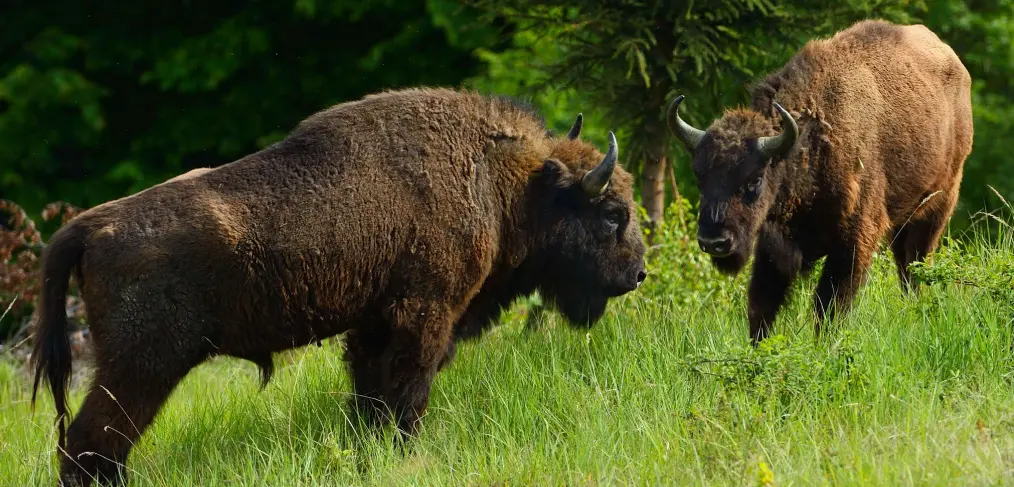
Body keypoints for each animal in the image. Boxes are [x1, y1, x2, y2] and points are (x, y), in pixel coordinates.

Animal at [37, 85, 648, 484]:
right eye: (612, 214)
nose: (637, 273)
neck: (505, 186)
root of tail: (90, 225)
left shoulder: (372, 326)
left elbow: (369, 398)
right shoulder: (424, 316)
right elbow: (406, 394)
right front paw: (403, 454)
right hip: (141, 366)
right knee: (93, 441)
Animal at [665, 20, 973, 342]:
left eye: (755, 180)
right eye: (700, 177)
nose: (714, 242)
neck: (807, 144)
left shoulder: (853, 242)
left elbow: (829, 304)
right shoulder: (774, 245)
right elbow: (762, 303)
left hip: (937, 208)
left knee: (914, 265)